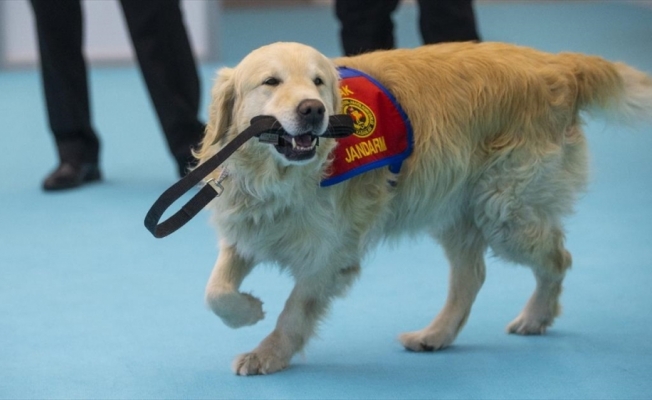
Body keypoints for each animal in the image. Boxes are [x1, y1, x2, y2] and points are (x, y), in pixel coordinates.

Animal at [194, 41, 652, 376]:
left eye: (318, 81)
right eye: (270, 82)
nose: (313, 109)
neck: (283, 177)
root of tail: (557, 63)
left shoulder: (330, 253)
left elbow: (293, 311)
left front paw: (268, 353)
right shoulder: (249, 226)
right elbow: (215, 291)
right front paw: (247, 310)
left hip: (505, 210)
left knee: (558, 257)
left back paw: (536, 316)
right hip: (459, 207)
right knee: (472, 275)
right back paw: (436, 334)